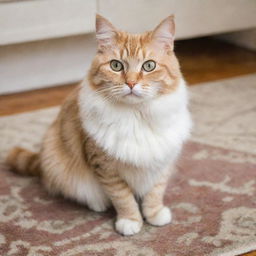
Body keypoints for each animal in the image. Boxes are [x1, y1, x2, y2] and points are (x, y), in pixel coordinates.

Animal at [6, 14, 191, 236]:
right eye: (116, 66)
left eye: (149, 66)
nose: (131, 84)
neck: (136, 116)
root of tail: (41, 160)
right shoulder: (105, 167)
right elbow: (123, 198)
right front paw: (130, 221)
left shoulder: (162, 162)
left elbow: (155, 192)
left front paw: (154, 215)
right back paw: (98, 203)